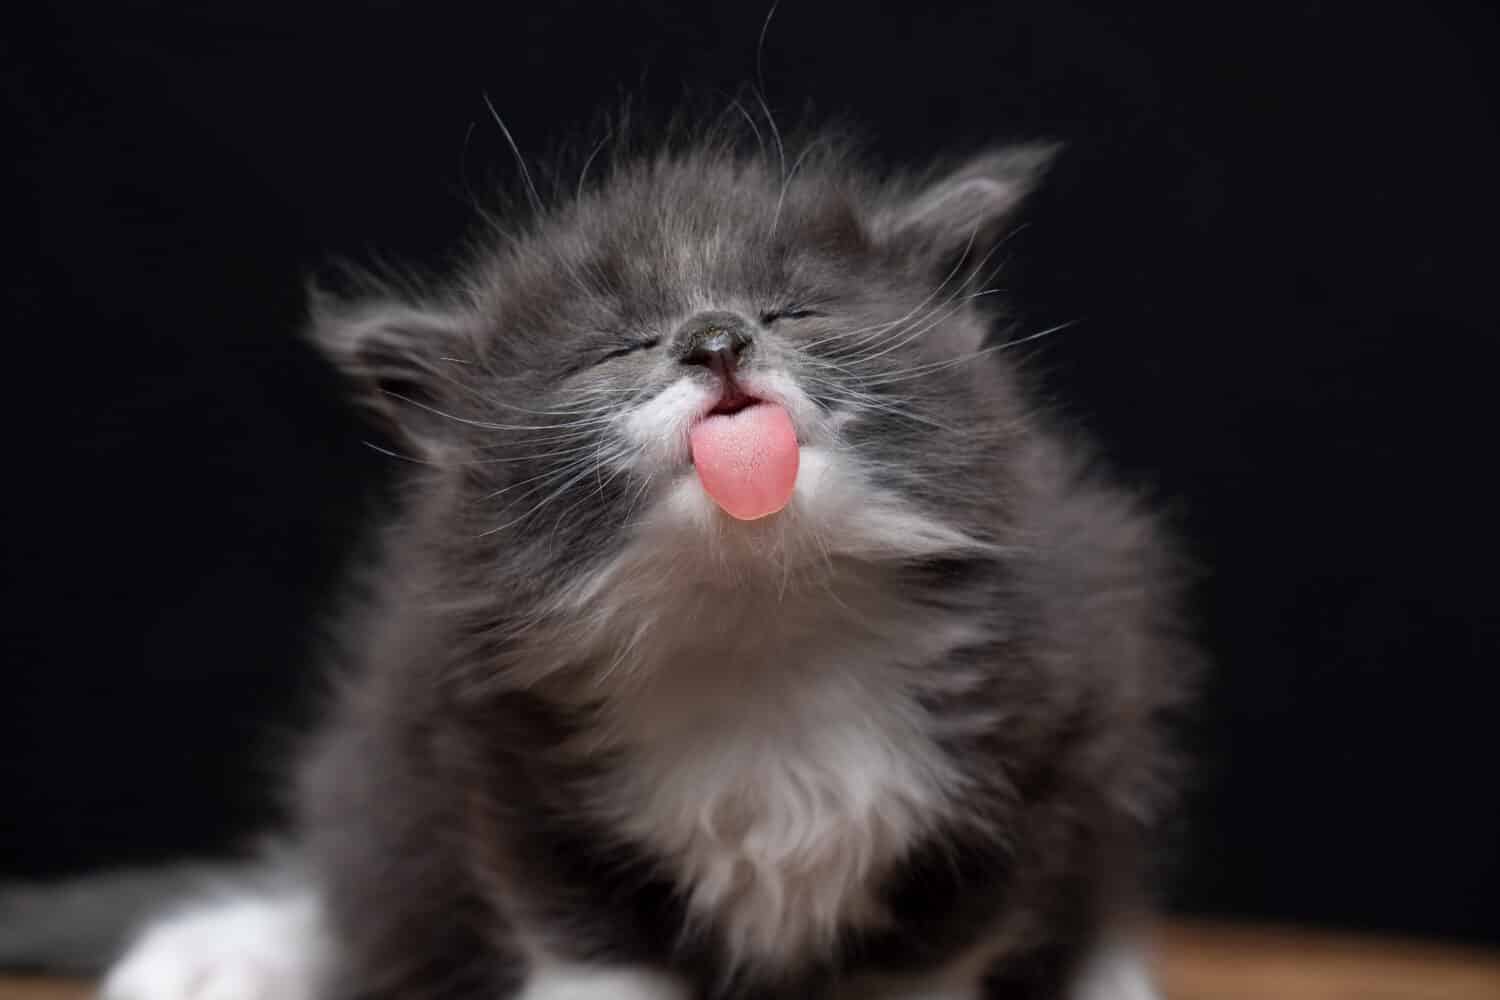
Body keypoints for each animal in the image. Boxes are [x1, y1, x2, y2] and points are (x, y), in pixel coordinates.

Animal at [11, 125, 1188, 1000]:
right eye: (619, 346)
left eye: (789, 311)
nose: (715, 339)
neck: (757, 612)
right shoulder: (512, 766)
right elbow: (586, 942)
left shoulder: (1029, 740)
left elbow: (931, 950)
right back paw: (219, 955)